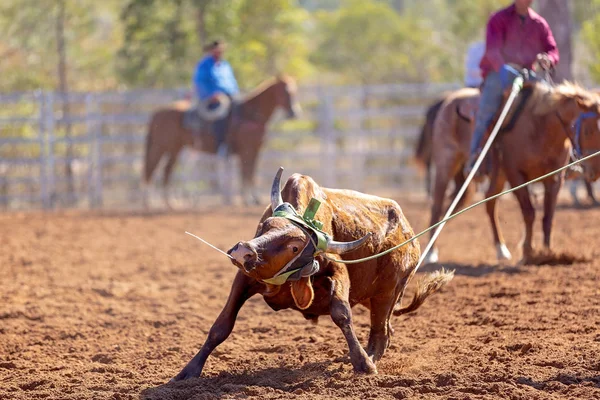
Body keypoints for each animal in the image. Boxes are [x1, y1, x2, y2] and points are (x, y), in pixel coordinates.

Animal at [144, 73, 302, 208]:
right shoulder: (247, 150)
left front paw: (255, 198)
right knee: (152, 170)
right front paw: (247, 199)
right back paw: (151, 202)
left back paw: (171, 202)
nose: (294, 113)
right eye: (285, 92)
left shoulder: (255, 150)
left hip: (175, 149)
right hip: (161, 148)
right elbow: (246, 173)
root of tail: (157, 114)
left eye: (294, 92)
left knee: (166, 172)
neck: (249, 115)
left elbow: (251, 173)